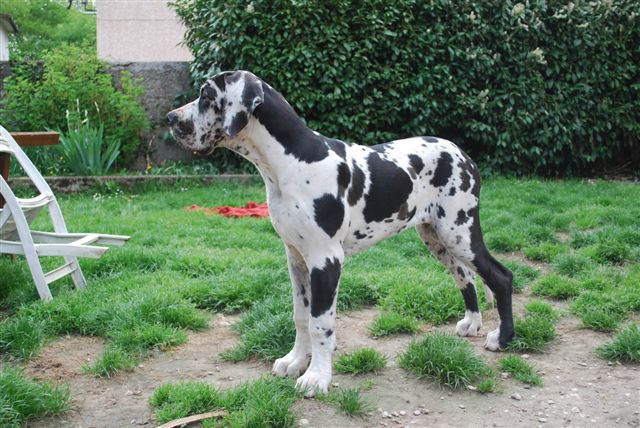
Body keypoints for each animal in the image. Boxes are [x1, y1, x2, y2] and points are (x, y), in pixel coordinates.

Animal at [169, 71, 516, 398]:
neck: (290, 161)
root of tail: (463, 153)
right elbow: (301, 316)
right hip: (437, 238)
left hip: (460, 232)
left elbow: (320, 323)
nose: (171, 118)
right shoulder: (296, 258)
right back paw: (472, 323)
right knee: (465, 277)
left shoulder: (326, 259)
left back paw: (503, 339)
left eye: (206, 95)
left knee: (500, 277)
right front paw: (296, 361)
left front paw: (317, 377)